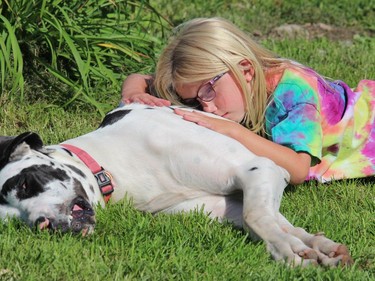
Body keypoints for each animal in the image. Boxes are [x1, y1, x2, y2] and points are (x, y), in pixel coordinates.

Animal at [0, 104, 352, 266]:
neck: (113, 166)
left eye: (26, 183)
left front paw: (286, 251)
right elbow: (265, 221)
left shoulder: (257, 169)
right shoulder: (230, 203)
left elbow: (259, 219)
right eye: (14, 221)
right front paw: (299, 246)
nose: (42, 224)